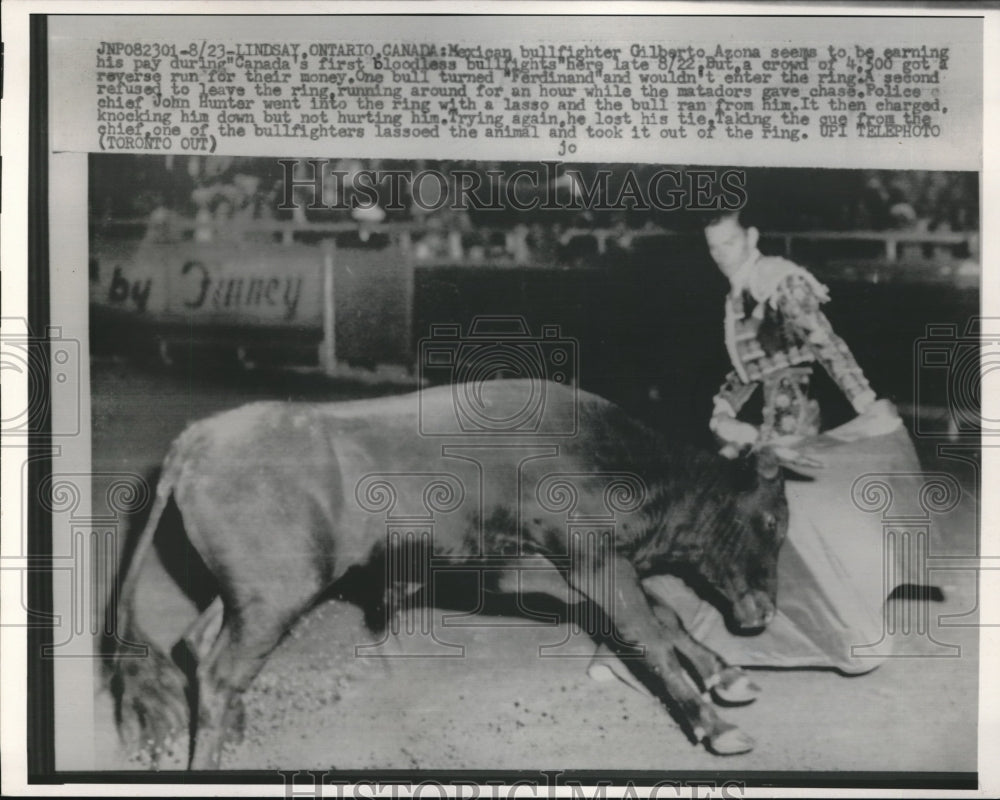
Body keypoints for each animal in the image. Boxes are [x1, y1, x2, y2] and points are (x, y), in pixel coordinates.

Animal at [109, 382, 792, 768]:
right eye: (772, 521)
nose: (762, 613)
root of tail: (195, 442)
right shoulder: (575, 561)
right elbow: (649, 633)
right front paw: (718, 725)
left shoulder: (570, 566)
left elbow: (665, 615)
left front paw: (728, 675)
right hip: (274, 599)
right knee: (220, 671)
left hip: (255, 597)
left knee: (198, 644)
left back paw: (233, 733)